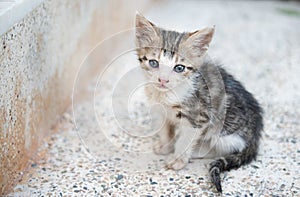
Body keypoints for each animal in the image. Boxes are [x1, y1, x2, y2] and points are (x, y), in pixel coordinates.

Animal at [135, 12, 264, 192]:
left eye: (179, 68)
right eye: (153, 63)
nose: (163, 80)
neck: (166, 95)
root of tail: (255, 136)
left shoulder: (197, 117)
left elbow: (185, 139)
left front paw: (178, 160)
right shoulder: (161, 112)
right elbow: (165, 130)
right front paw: (165, 146)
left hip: (224, 131)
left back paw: (198, 151)